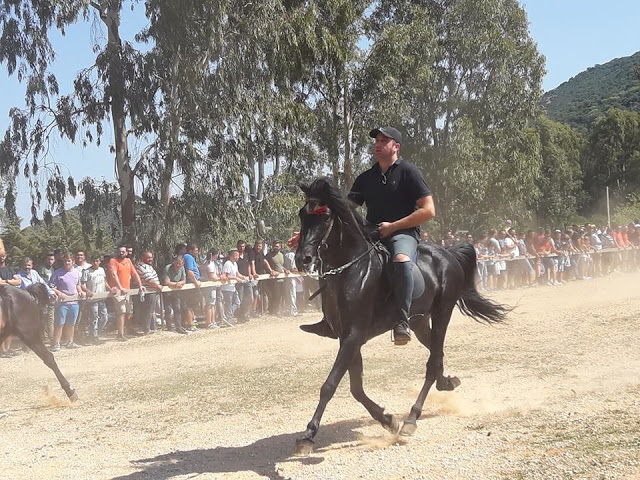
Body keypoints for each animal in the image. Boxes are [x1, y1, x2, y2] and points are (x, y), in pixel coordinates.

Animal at [292, 178, 508, 456]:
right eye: (302, 214)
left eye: (326, 216)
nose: (303, 259)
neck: (352, 271)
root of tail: (447, 253)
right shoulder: (347, 338)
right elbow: (356, 388)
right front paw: (388, 420)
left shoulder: (353, 336)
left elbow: (330, 385)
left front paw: (308, 435)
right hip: (419, 322)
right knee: (437, 355)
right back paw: (446, 383)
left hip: (443, 312)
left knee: (432, 363)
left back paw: (412, 419)